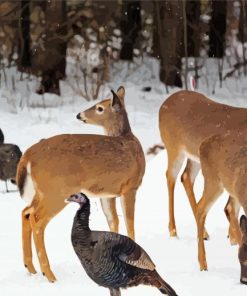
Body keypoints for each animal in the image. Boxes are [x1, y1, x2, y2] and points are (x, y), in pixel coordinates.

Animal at [16, 86, 146, 284]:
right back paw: (49, 275)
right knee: (37, 220)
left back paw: (30, 268)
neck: (128, 140)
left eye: (100, 107)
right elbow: (129, 222)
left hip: (42, 191)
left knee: (26, 212)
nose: (79, 115)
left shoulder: (107, 193)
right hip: (57, 191)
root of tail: (27, 155)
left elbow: (113, 221)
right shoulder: (130, 186)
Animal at [159, 90, 247, 243]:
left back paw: (204, 233)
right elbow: (230, 209)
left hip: (195, 158)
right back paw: (173, 231)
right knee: (170, 177)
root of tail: (164, 104)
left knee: (186, 177)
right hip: (173, 148)